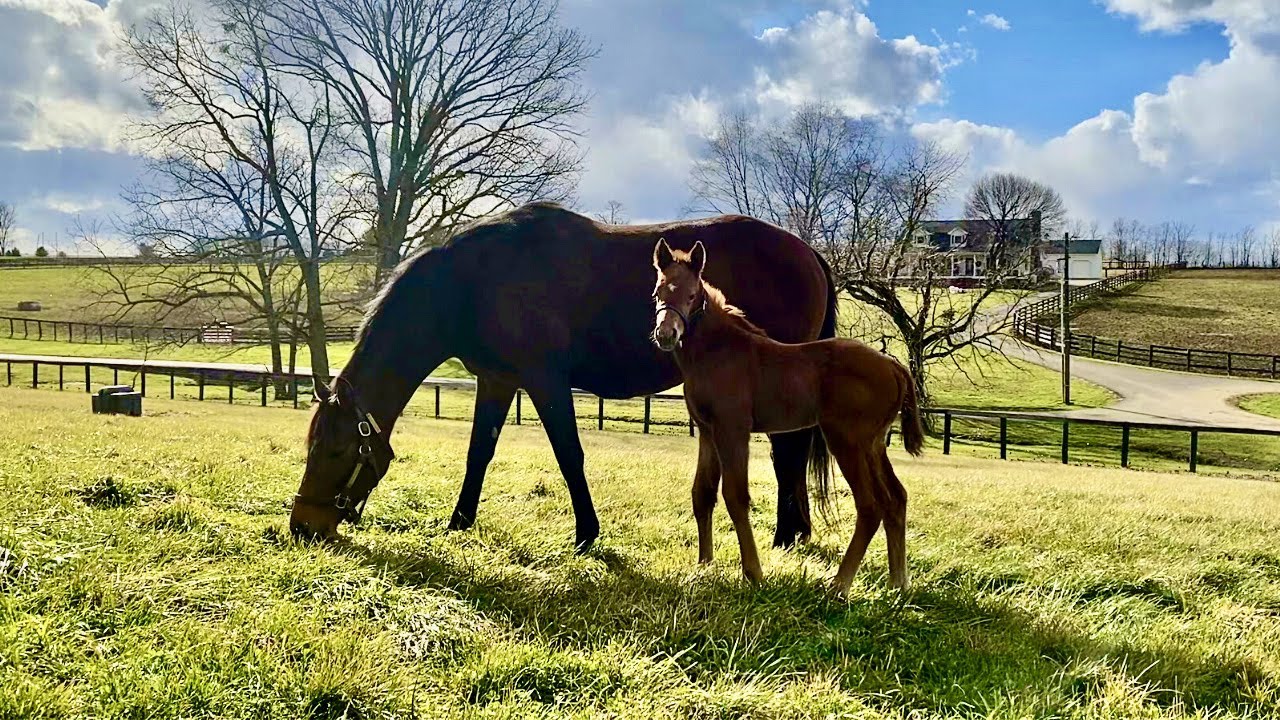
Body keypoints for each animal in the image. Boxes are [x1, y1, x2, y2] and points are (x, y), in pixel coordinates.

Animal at [290, 202, 839, 553]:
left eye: (336, 449)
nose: (302, 526)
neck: (474, 281)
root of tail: (808, 253)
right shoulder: (497, 382)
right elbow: (478, 453)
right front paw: (459, 523)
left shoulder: (545, 381)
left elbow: (569, 455)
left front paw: (586, 534)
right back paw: (794, 534)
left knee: (788, 454)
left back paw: (786, 535)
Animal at [650, 238, 924, 594]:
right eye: (658, 292)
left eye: (692, 294)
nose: (666, 334)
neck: (719, 351)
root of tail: (895, 366)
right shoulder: (707, 431)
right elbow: (703, 493)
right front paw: (704, 565)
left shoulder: (732, 430)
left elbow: (735, 497)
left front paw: (753, 573)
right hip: (873, 445)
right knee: (895, 499)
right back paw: (897, 584)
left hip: (846, 441)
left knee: (870, 506)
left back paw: (839, 586)